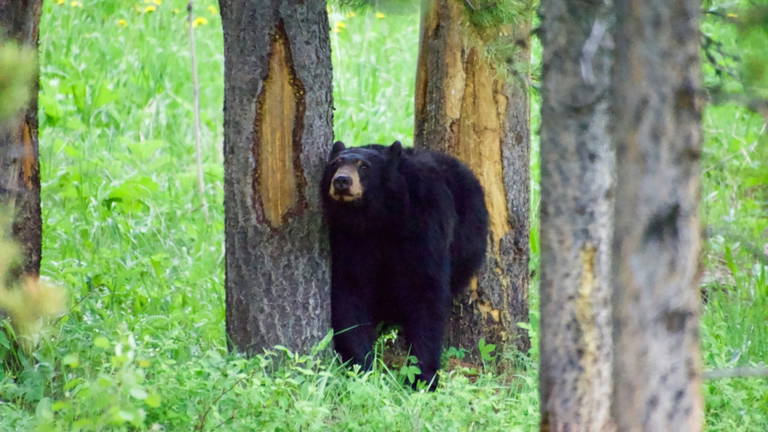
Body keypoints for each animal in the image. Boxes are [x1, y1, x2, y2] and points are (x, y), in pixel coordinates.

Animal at [320, 140, 489, 390]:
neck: (376, 216)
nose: (342, 181)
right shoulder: (348, 238)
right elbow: (349, 290)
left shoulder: (424, 223)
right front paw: (362, 366)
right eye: (335, 163)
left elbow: (425, 289)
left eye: (364, 166)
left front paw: (424, 376)